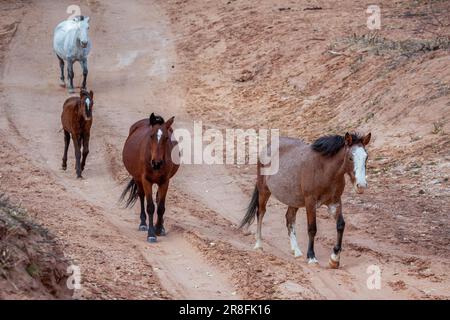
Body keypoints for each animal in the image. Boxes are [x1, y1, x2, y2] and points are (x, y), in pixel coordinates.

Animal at [241, 131, 370, 268]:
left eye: (366, 157)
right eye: (351, 157)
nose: (361, 186)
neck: (324, 170)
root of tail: (268, 146)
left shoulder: (334, 202)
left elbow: (340, 225)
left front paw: (334, 259)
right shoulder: (310, 202)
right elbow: (312, 228)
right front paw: (312, 257)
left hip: (293, 199)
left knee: (289, 218)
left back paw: (296, 251)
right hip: (264, 190)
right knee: (260, 212)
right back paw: (258, 245)